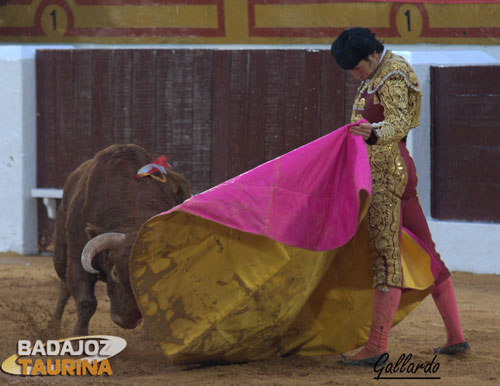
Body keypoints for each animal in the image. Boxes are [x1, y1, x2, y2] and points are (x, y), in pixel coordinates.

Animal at [51, 143, 190, 336]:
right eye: (115, 272)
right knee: (64, 286)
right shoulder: (77, 258)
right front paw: (79, 335)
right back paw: (53, 327)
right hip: (61, 255)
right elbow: (86, 301)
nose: (126, 321)